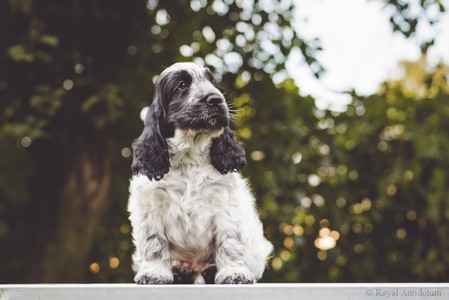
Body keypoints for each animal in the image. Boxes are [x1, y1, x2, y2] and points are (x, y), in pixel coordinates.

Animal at [128, 62, 272, 284]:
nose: (216, 99)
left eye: (213, 83)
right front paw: (153, 274)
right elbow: (155, 243)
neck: (189, 156)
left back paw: (211, 270)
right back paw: (180, 270)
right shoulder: (151, 205)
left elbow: (229, 241)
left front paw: (234, 273)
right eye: (182, 85)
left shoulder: (224, 204)